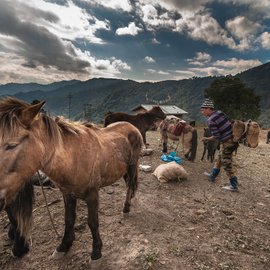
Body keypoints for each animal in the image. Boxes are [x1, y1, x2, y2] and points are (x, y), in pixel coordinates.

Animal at [0, 97, 143, 262]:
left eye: (11, 145)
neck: (74, 159)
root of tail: (132, 126)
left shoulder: (92, 195)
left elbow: (93, 222)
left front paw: (96, 252)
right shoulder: (67, 194)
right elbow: (68, 220)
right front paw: (64, 246)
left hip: (132, 165)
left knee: (130, 185)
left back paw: (126, 208)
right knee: (129, 185)